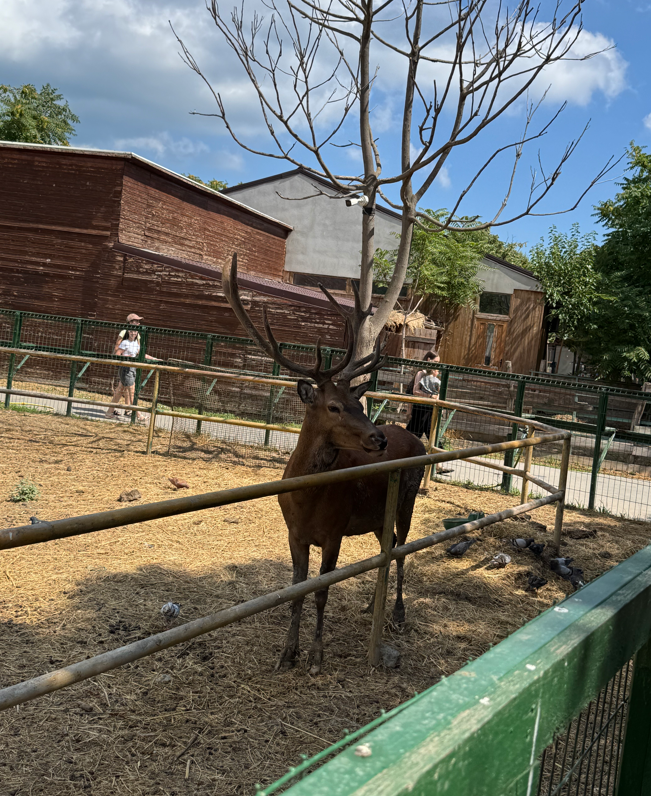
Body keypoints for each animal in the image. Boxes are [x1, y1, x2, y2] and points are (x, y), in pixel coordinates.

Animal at [223, 254, 426, 675]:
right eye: (334, 406)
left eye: (359, 403)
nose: (379, 439)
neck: (307, 501)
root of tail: (416, 439)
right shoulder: (294, 534)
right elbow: (297, 592)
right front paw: (287, 653)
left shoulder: (334, 532)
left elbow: (321, 593)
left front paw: (316, 656)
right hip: (378, 515)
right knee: (387, 547)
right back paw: (371, 605)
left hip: (408, 499)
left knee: (402, 548)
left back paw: (398, 614)